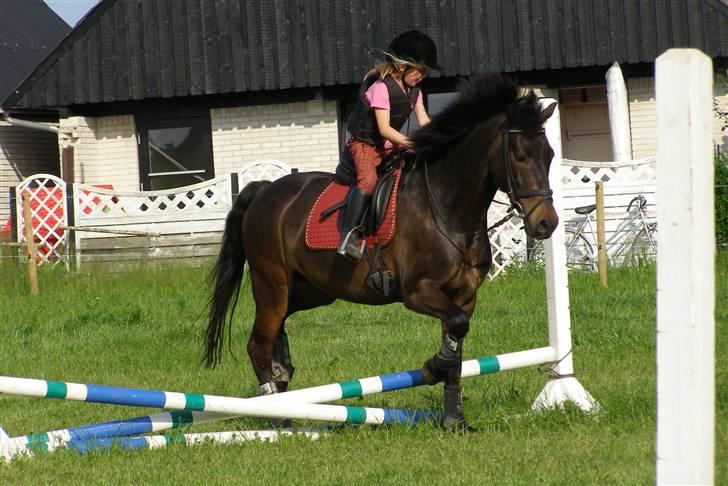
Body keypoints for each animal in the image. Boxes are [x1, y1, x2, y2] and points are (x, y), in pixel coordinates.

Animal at [205, 71, 556, 430]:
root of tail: (263, 191)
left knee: (276, 333)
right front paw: (432, 368)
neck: (448, 208)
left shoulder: (464, 296)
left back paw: (284, 387)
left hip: (307, 291)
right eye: (520, 157)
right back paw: (278, 415)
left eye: (550, 156)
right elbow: (456, 331)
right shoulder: (418, 291)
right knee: (258, 344)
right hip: (272, 284)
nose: (547, 223)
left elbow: (457, 348)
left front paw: (454, 420)